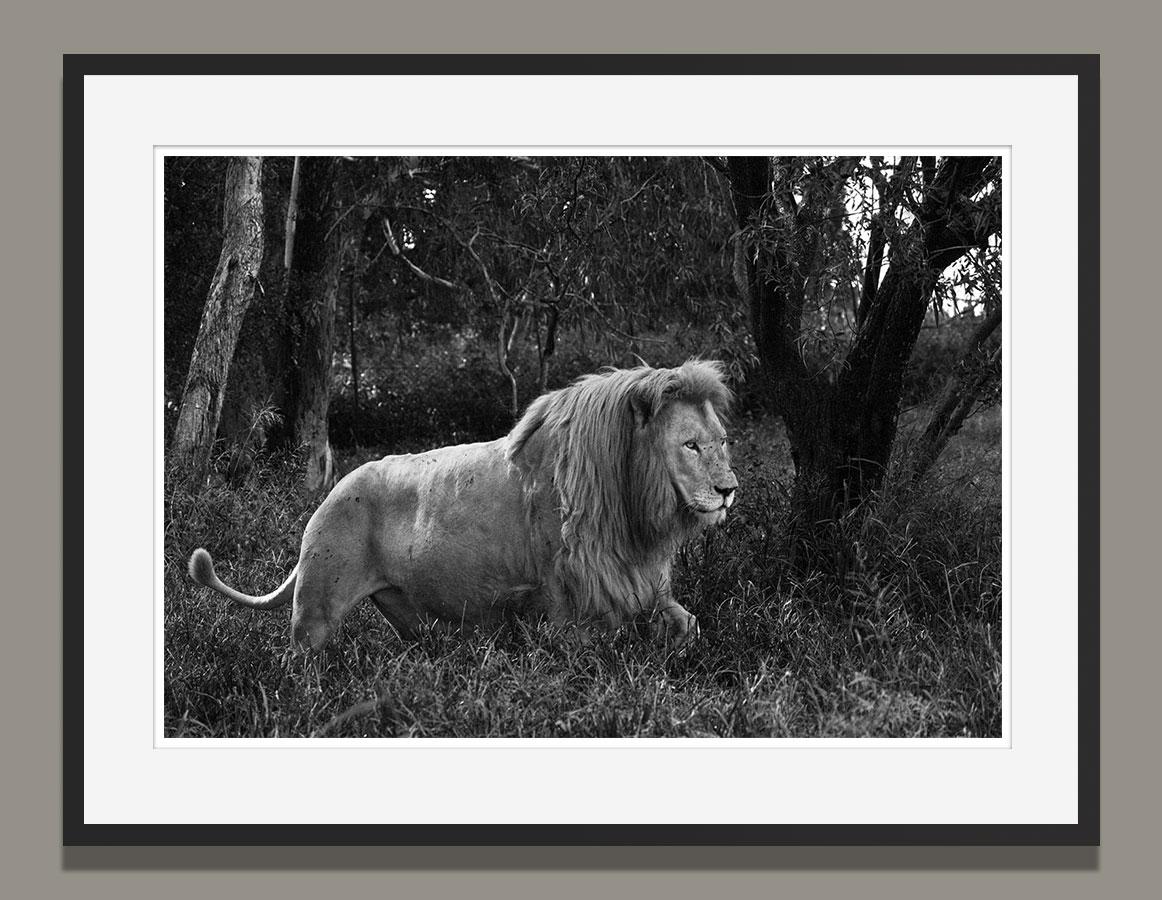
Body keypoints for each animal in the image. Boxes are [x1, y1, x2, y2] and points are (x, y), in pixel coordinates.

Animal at [188, 362, 734, 650]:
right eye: (690, 446)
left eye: (723, 441)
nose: (729, 490)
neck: (634, 510)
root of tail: (331, 492)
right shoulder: (566, 606)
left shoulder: (644, 586)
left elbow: (691, 624)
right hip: (315, 612)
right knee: (298, 664)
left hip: (409, 619)